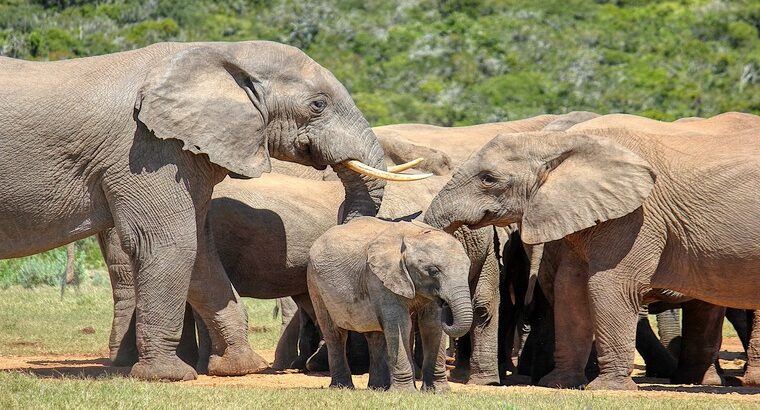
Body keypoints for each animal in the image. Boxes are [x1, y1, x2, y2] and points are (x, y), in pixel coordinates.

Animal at [0, 41, 424, 382]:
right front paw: (168, 376)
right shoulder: (146, 148)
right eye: (318, 105)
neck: (220, 53)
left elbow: (200, 251)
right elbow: (170, 242)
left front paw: (239, 368)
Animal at [306, 216, 472, 392]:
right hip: (314, 284)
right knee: (335, 333)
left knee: (375, 336)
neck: (414, 234)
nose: (445, 305)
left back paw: (378, 388)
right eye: (433, 271)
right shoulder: (379, 278)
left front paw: (438, 391)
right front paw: (406, 392)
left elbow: (431, 325)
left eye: (468, 268)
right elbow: (400, 324)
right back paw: (342, 388)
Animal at [424, 112, 760, 390]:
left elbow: (609, 285)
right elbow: (569, 288)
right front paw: (559, 384)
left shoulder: (637, 215)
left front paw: (607, 387)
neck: (561, 141)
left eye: (488, 179)